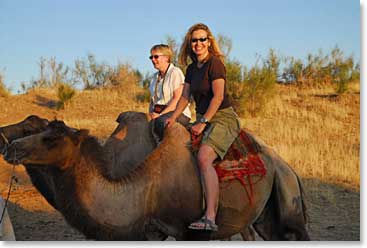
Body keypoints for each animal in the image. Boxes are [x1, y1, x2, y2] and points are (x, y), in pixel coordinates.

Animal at [2, 113, 310, 240]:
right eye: (40, 129)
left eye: (50, 138)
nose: (11, 147)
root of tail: (288, 168)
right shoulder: (151, 231)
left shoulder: (192, 234)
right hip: (265, 217)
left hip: (289, 205)